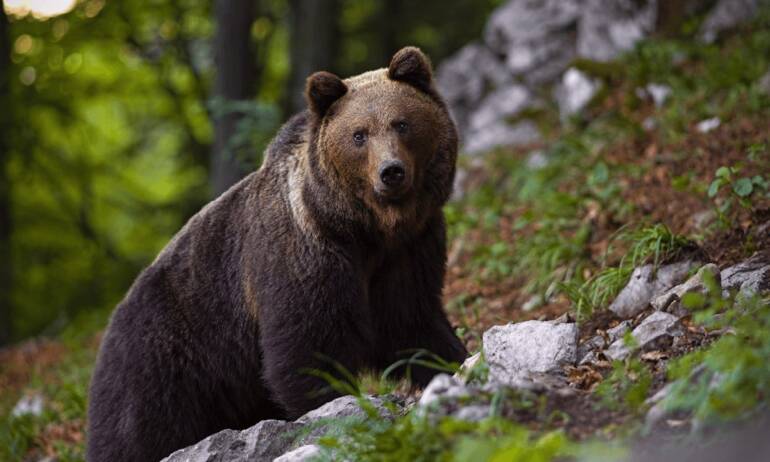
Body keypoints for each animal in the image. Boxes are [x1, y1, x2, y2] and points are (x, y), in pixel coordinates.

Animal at [86, 46, 467, 462]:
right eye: (359, 134)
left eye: (401, 123)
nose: (391, 172)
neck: (363, 230)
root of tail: (108, 329)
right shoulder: (304, 256)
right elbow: (309, 346)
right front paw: (335, 407)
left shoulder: (408, 251)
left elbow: (410, 322)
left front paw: (452, 362)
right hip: (163, 363)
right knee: (137, 433)